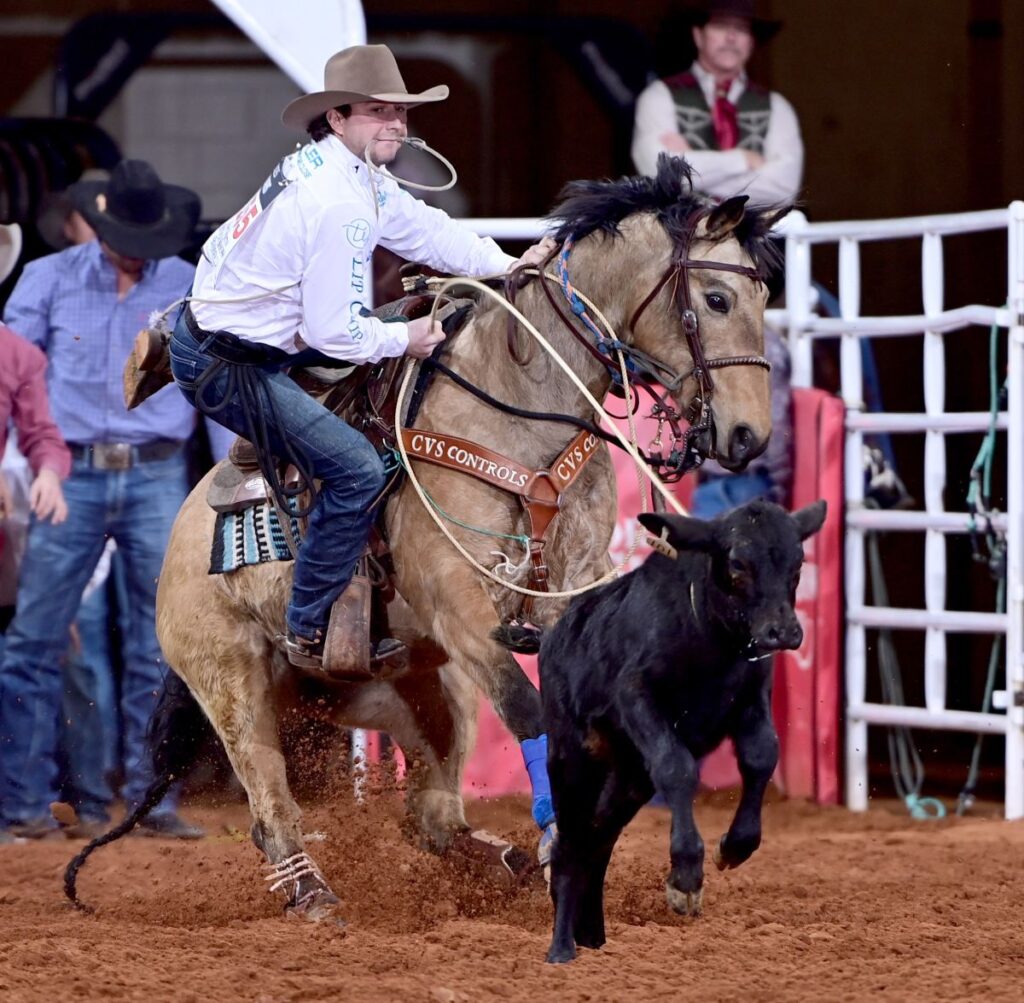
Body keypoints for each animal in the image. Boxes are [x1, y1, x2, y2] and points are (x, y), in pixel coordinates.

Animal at [66, 158, 782, 926]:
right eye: (716, 297)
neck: (518, 414)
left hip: (419, 688)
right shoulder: (455, 597)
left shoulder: (571, 584)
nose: (749, 436)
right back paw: (314, 891)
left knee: (430, 819)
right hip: (233, 681)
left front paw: (666, 870)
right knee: (269, 803)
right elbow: (527, 706)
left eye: (762, 296)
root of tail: (182, 536)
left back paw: (506, 864)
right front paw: (561, 837)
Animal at [540, 497, 827, 958]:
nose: (782, 632)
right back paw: (562, 948)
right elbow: (677, 768)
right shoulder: (636, 695)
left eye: (798, 562)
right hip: (572, 758)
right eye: (737, 562)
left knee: (596, 841)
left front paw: (736, 844)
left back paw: (592, 936)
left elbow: (761, 756)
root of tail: (551, 638)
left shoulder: (752, 698)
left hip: (629, 779)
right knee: (570, 843)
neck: (709, 640)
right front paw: (686, 879)